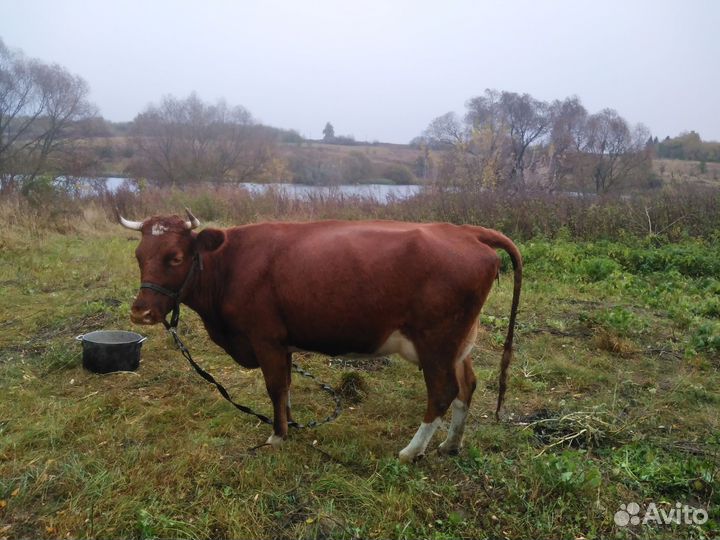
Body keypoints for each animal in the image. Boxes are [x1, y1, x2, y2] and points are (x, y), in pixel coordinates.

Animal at [119, 210, 522, 463]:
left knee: (443, 392)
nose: (141, 311)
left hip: (435, 341)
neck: (231, 265)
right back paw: (451, 445)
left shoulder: (264, 338)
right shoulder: (282, 342)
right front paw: (289, 422)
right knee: (467, 385)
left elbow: (275, 387)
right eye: (139, 255)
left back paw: (412, 451)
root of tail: (465, 231)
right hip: (457, 342)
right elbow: (286, 386)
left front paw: (277, 435)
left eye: (175, 257)